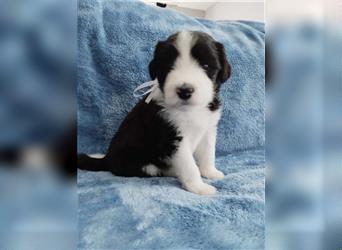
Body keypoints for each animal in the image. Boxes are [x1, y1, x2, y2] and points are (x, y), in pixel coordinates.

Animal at [79, 30, 231, 195]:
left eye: (206, 65)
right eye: (169, 65)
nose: (184, 91)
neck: (190, 110)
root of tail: (107, 159)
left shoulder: (208, 129)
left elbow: (208, 153)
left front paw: (210, 172)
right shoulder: (173, 139)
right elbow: (189, 166)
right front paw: (198, 187)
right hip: (140, 163)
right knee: (154, 170)